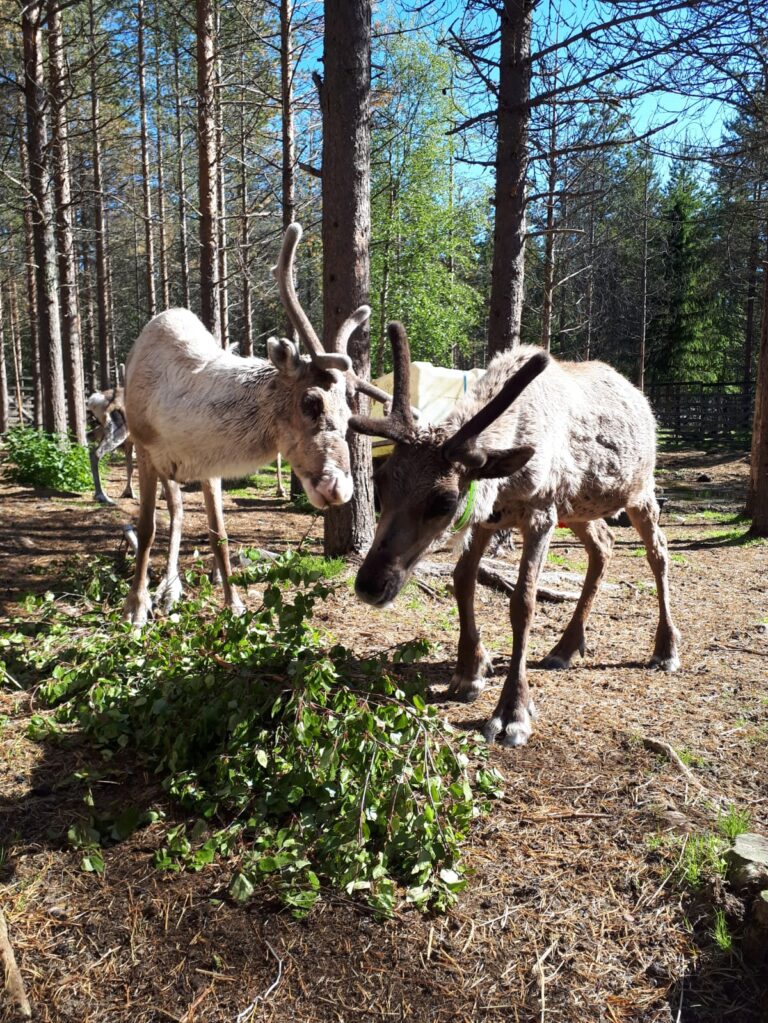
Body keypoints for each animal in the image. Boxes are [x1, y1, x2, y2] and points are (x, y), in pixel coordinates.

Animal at [122, 223, 390, 626]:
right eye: (311, 402)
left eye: (348, 417)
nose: (339, 488)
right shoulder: (144, 449)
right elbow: (147, 528)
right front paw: (135, 608)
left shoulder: (208, 465)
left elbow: (219, 534)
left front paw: (233, 604)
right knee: (172, 515)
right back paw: (163, 591)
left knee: (180, 514)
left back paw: (171, 589)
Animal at [350, 323, 681, 748]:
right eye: (383, 481)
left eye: (444, 500)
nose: (370, 584)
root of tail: (639, 395)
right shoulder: (485, 520)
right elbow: (462, 582)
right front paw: (469, 671)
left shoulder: (540, 514)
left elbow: (523, 603)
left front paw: (512, 712)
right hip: (577, 508)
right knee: (603, 546)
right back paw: (566, 647)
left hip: (639, 491)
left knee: (659, 552)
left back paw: (665, 649)